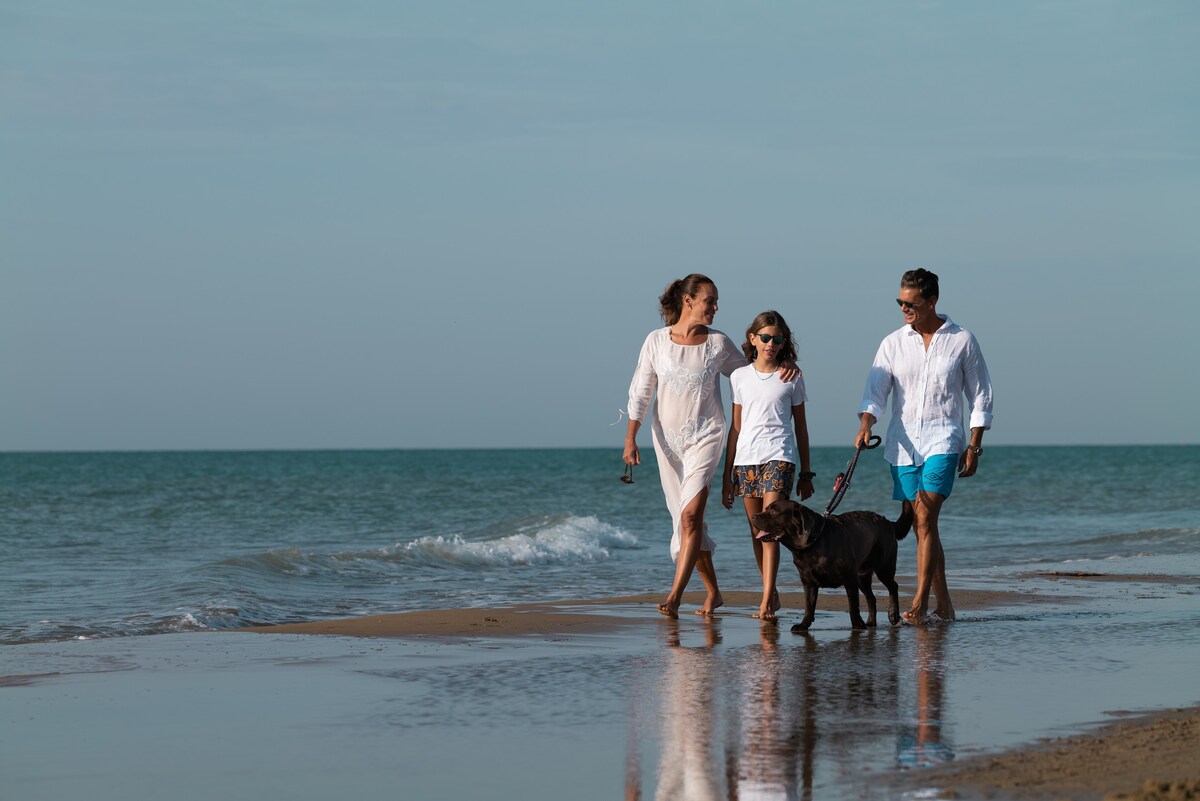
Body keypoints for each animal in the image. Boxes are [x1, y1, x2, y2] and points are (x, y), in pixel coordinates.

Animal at [748, 501, 907, 633]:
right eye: (766, 508)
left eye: (773, 511)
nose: (754, 516)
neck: (811, 545)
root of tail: (888, 522)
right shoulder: (808, 582)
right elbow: (809, 606)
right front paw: (803, 625)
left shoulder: (849, 579)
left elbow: (853, 605)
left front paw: (857, 624)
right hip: (861, 576)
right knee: (871, 597)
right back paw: (870, 622)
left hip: (883, 567)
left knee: (893, 586)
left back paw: (893, 614)